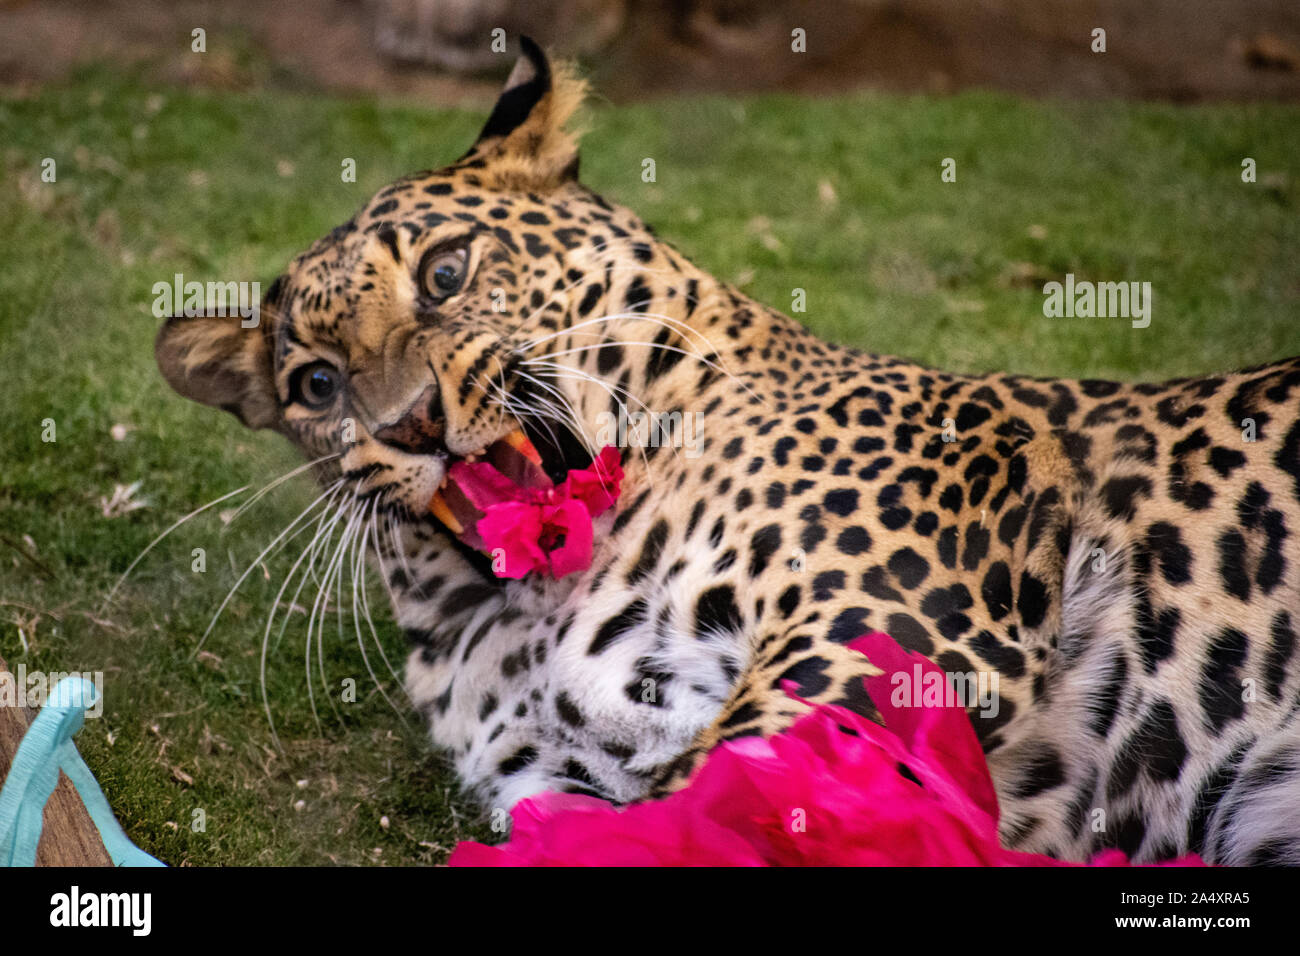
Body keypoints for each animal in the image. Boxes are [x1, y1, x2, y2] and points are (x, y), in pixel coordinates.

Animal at [157, 37, 1300, 863]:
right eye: (315, 386)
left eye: (444, 273)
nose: (408, 422)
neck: (529, 610)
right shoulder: (554, 778)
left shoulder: (873, 631)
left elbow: (704, 788)